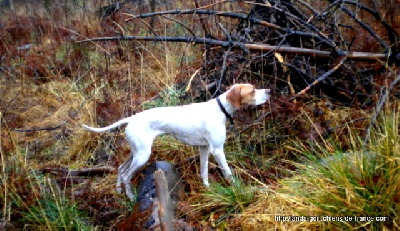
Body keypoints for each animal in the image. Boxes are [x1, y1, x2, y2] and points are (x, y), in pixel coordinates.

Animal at [82, 83, 270, 200]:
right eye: (252, 90)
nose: (269, 91)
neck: (220, 109)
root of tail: (132, 118)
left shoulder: (204, 148)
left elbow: (204, 171)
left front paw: (207, 188)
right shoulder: (217, 150)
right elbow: (228, 172)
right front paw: (237, 188)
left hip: (136, 153)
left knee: (121, 169)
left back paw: (119, 190)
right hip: (142, 155)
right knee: (127, 174)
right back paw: (130, 196)